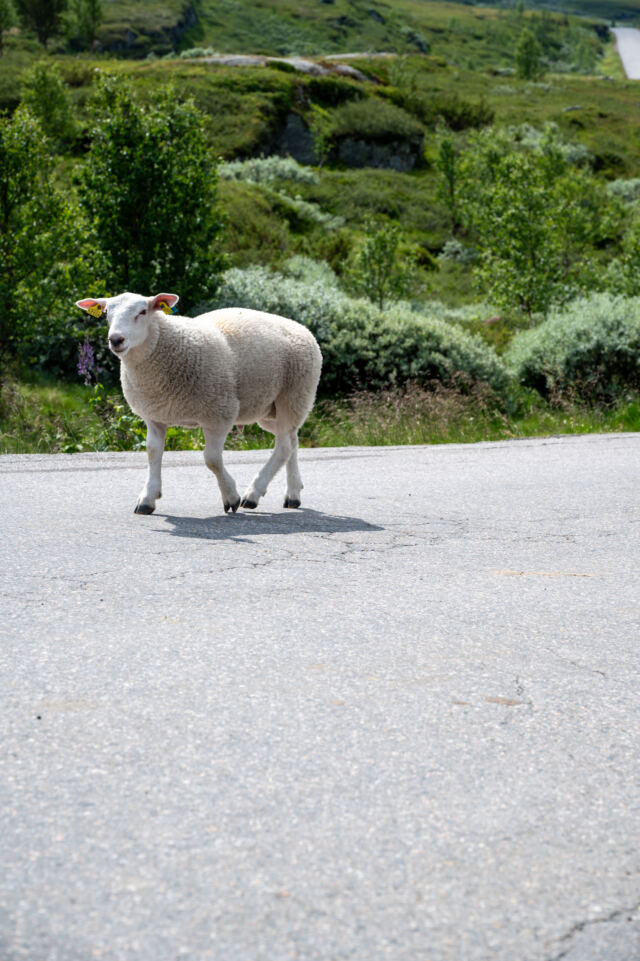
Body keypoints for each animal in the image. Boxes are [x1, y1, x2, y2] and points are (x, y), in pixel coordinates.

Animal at [76, 292, 322, 515]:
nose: (116, 340)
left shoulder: (219, 413)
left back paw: (253, 494)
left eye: (143, 312)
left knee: (284, 447)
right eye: (106, 313)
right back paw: (293, 494)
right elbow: (153, 453)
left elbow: (211, 459)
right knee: (292, 440)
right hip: (269, 408)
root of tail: (300, 327)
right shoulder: (155, 415)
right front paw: (147, 498)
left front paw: (231, 497)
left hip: (293, 394)